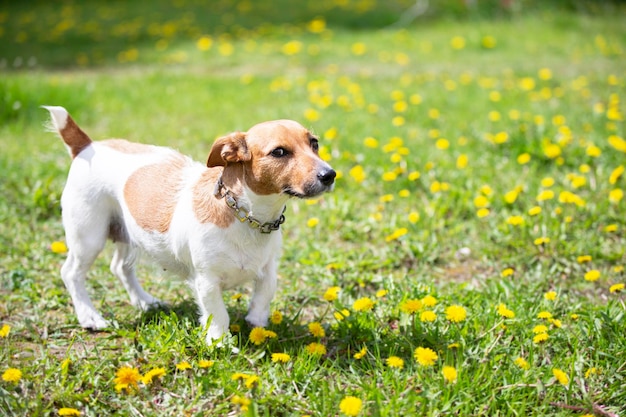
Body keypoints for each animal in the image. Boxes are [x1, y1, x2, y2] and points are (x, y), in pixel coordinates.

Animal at [42, 105, 336, 342]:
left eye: (314, 143)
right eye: (279, 152)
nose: (330, 174)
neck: (248, 217)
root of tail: (88, 146)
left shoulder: (268, 269)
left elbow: (263, 295)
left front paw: (256, 323)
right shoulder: (206, 281)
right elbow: (218, 314)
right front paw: (221, 343)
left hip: (127, 233)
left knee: (120, 267)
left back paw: (145, 301)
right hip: (88, 236)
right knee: (71, 273)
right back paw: (90, 317)